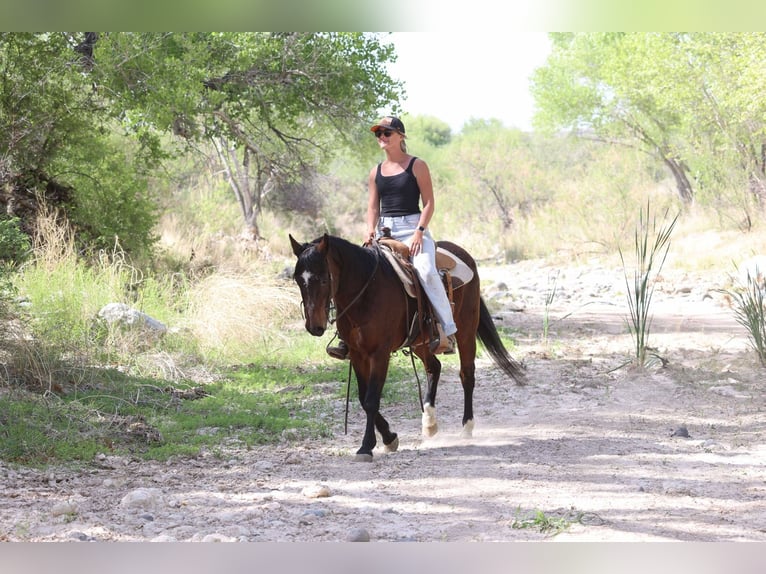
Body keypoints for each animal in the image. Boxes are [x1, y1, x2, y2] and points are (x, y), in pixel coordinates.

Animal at [289, 233, 525, 462]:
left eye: (322, 278)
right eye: (298, 280)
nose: (314, 326)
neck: (366, 292)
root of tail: (464, 255)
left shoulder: (380, 353)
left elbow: (371, 400)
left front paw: (367, 446)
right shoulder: (357, 353)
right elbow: (363, 397)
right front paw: (389, 438)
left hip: (466, 329)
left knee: (466, 374)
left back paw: (467, 427)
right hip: (421, 341)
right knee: (434, 367)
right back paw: (429, 424)